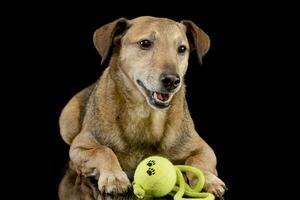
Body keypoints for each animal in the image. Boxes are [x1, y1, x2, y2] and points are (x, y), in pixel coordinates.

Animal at [59, 16, 226, 198]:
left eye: (182, 49)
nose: (172, 80)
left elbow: (198, 160)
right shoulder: (80, 146)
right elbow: (103, 150)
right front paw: (114, 177)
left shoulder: (203, 148)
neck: (146, 116)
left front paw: (208, 179)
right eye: (145, 43)